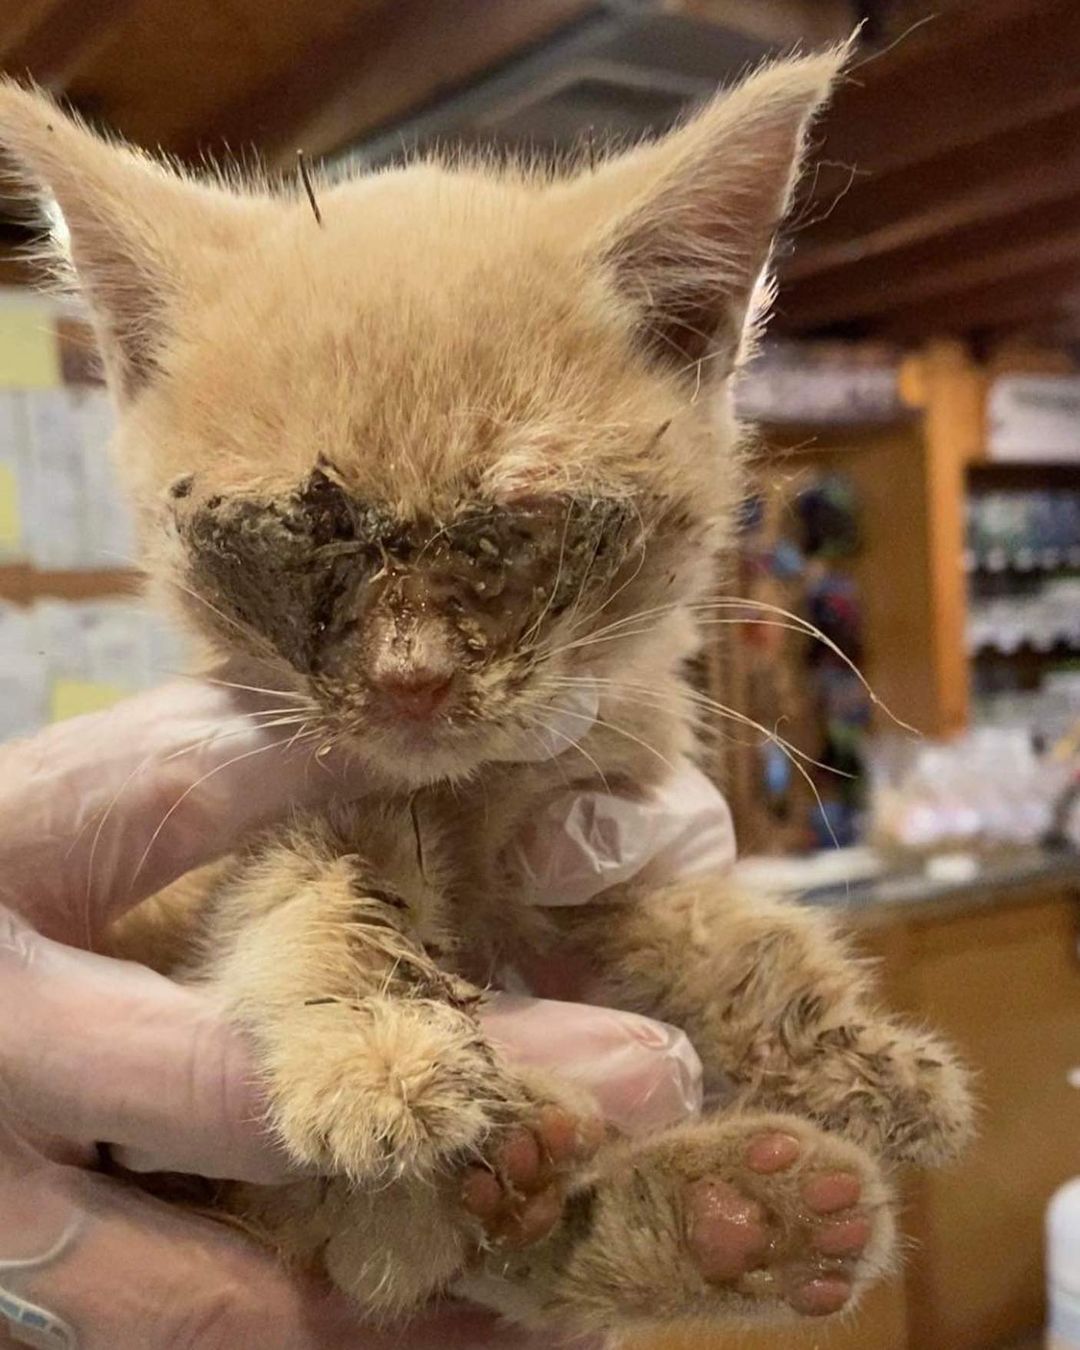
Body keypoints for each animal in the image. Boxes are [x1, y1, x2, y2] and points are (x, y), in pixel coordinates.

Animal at [0, 42, 972, 1339]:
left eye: (516, 531)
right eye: (303, 546)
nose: (410, 681)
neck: (469, 805)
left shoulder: (604, 822)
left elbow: (722, 924)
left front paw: (854, 1051)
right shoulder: (266, 832)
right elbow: (312, 906)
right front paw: (375, 1057)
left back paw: (727, 1211)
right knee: (392, 1253)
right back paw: (565, 1179)